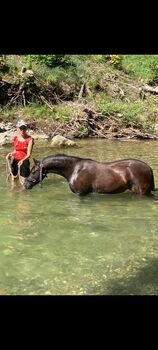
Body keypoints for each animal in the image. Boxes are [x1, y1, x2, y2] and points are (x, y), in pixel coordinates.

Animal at [23, 154, 156, 196]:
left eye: (33, 171)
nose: (25, 184)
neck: (73, 169)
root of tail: (149, 168)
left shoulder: (81, 193)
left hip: (142, 192)